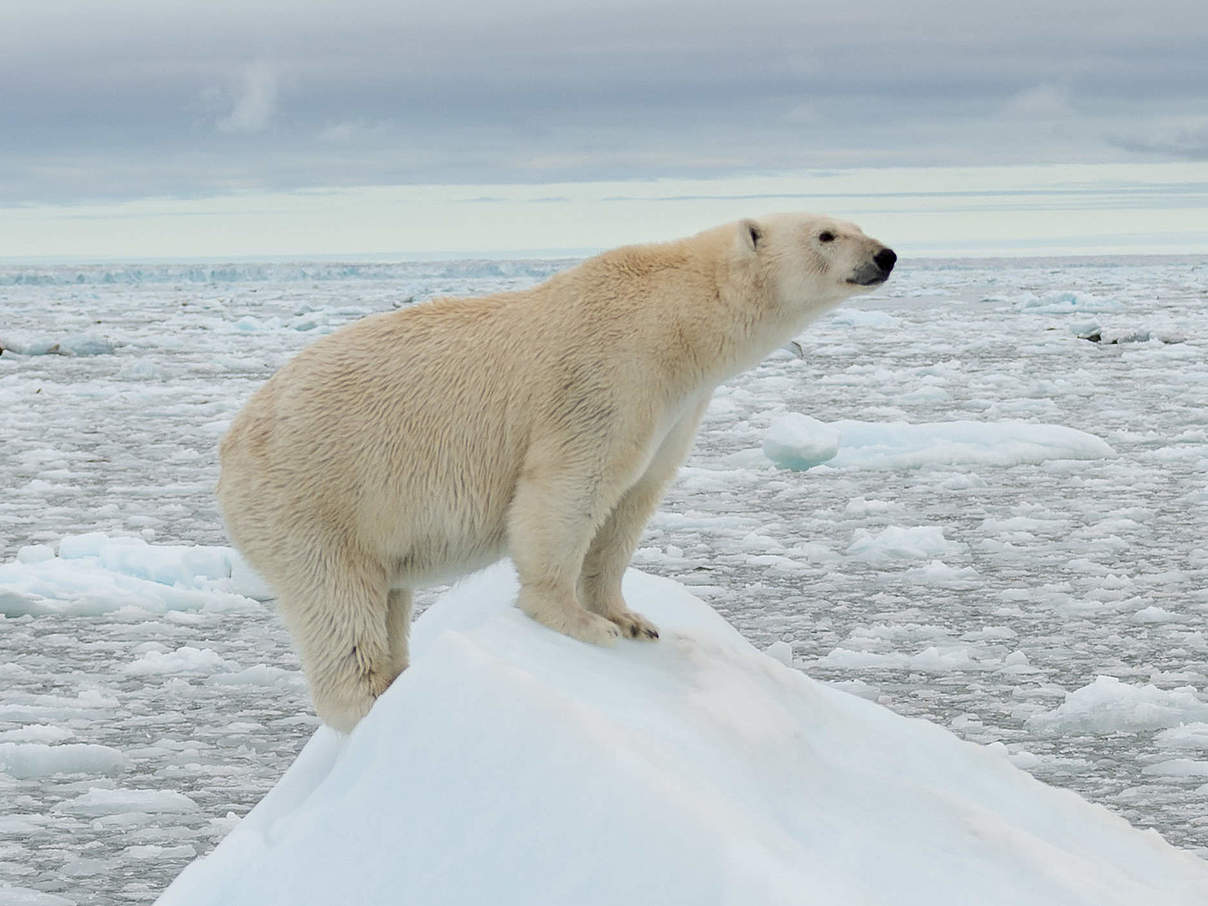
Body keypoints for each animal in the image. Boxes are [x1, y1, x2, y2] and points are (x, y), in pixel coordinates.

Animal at [219, 212, 898, 729]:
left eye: (856, 223)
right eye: (826, 234)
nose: (887, 255)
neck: (678, 320)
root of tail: (230, 449)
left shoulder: (674, 410)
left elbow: (631, 503)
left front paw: (631, 620)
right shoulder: (608, 376)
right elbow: (571, 487)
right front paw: (577, 620)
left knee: (387, 597)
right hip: (316, 500)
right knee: (338, 604)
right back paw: (371, 700)